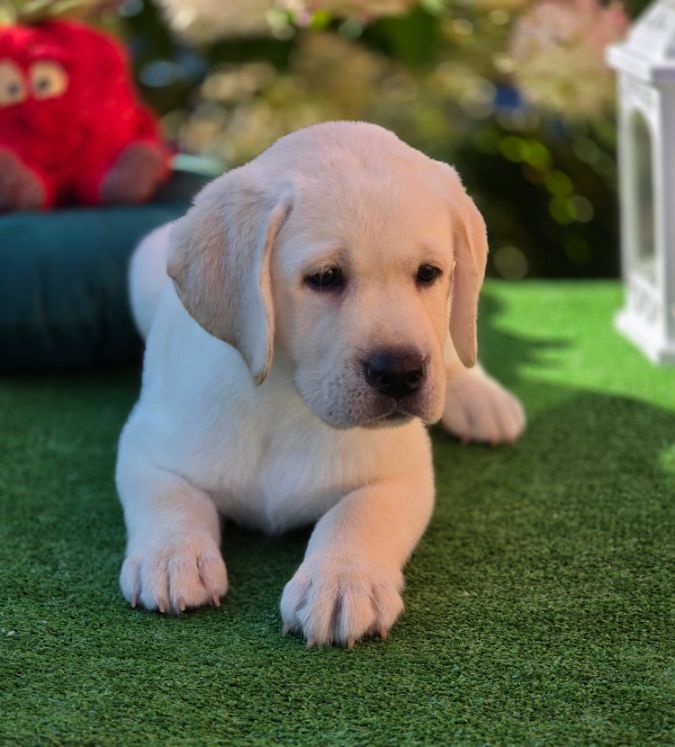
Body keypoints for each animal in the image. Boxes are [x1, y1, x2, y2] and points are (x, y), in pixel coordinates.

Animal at [116, 121, 525, 648]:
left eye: (429, 273)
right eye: (326, 277)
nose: (400, 372)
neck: (287, 401)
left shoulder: (403, 469)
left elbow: (359, 513)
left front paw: (343, 580)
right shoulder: (145, 443)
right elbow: (169, 494)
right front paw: (172, 558)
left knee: (457, 349)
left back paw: (482, 400)